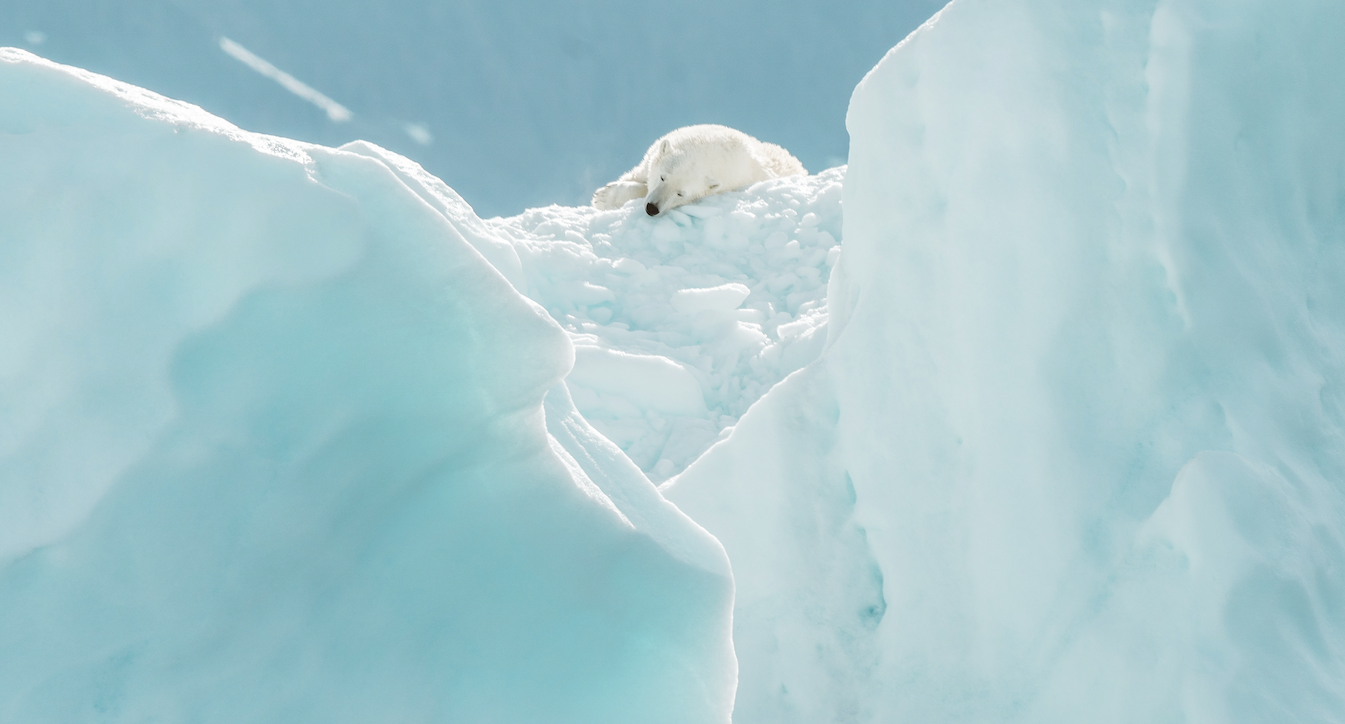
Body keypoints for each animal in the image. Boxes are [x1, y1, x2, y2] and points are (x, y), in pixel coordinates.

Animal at [591, 123, 801, 215]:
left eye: (681, 193)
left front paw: (603, 198)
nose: (652, 209)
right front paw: (603, 196)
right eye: (662, 177)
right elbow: (640, 173)